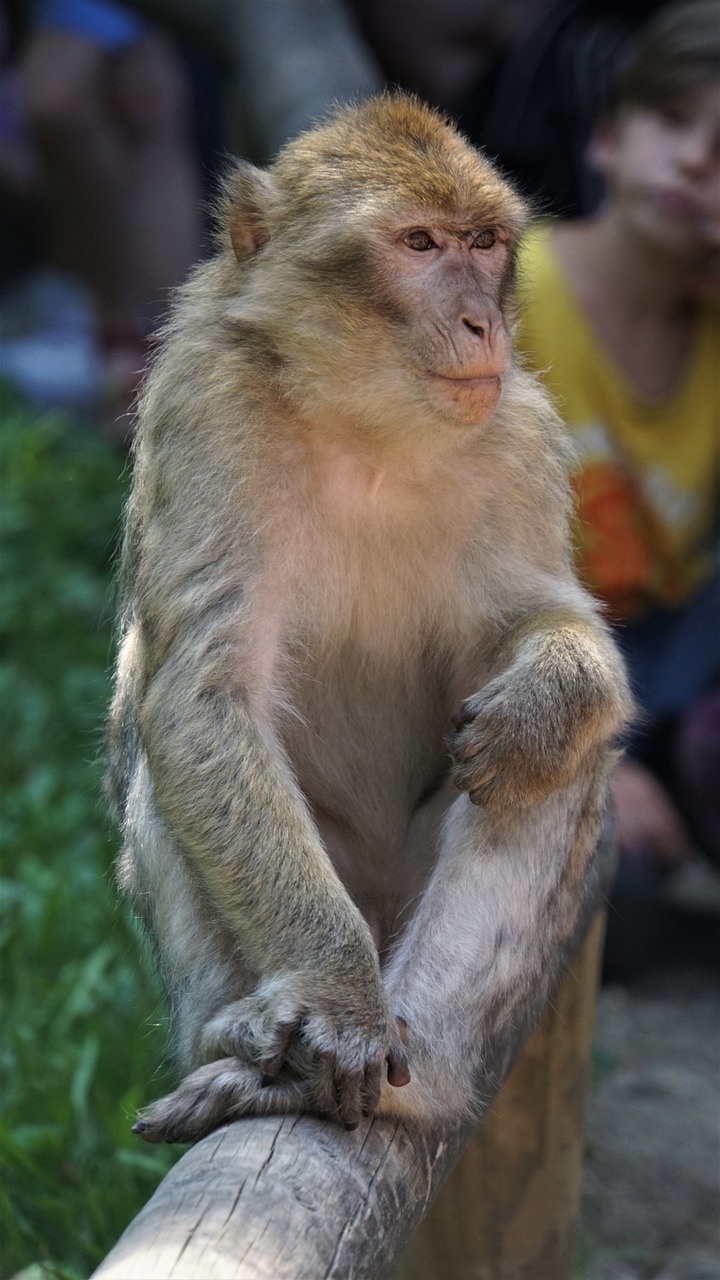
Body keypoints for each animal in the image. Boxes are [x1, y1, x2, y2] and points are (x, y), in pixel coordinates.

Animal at [105, 94, 627, 1146]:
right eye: (418, 244)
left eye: (482, 242)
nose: (480, 322)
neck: (366, 428)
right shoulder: (207, 405)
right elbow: (202, 697)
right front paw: (338, 999)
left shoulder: (517, 433)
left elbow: (553, 624)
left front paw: (546, 702)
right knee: (162, 746)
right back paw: (253, 1051)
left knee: (551, 776)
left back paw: (417, 1080)